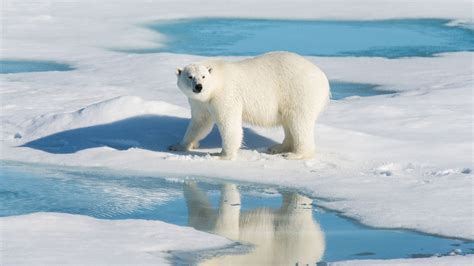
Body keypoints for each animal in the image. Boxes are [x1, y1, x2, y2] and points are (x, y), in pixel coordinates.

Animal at [169, 52, 330, 160]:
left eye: (203, 76)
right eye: (190, 76)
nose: (199, 87)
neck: (217, 80)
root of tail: (323, 78)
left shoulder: (225, 95)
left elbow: (229, 124)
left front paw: (221, 155)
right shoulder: (201, 102)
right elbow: (200, 123)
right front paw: (178, 145)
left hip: (299, 91)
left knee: (299, 121)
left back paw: (294, 154)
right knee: (288, 122)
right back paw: (277, 148)